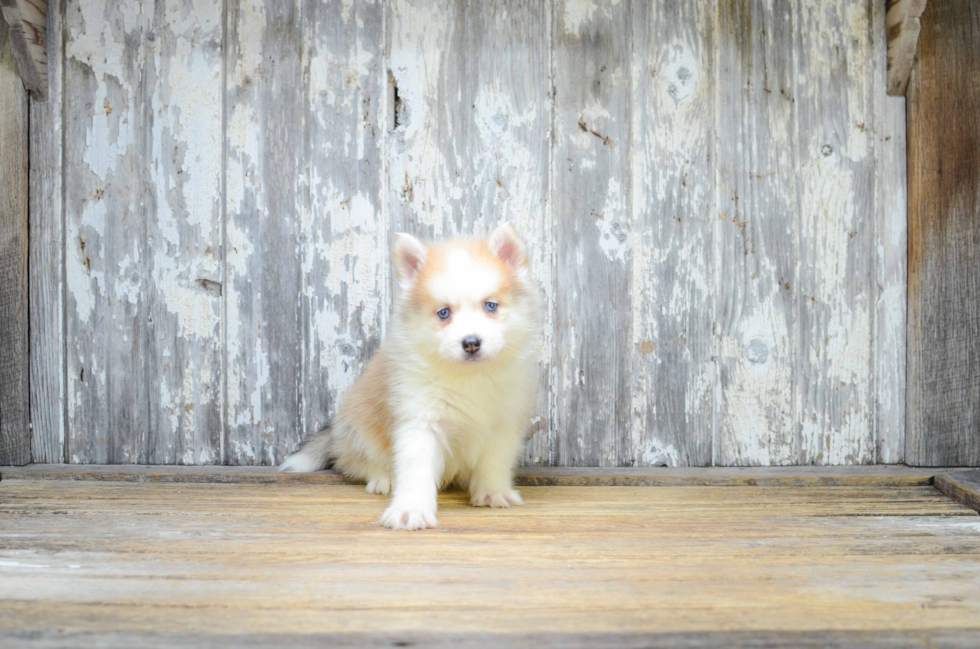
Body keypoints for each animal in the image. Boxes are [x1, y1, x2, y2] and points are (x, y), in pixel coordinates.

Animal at [280, 221, 544, 528]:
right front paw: (411, 509)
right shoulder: (420, 421)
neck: (469, 377)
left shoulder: (503, 423)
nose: (471, 343)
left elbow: (494, 463)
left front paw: (493, 493)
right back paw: (383, 479)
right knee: (359, 462)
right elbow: (416, 471)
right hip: (359, 427)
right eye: (443, 313)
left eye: (491, 306)